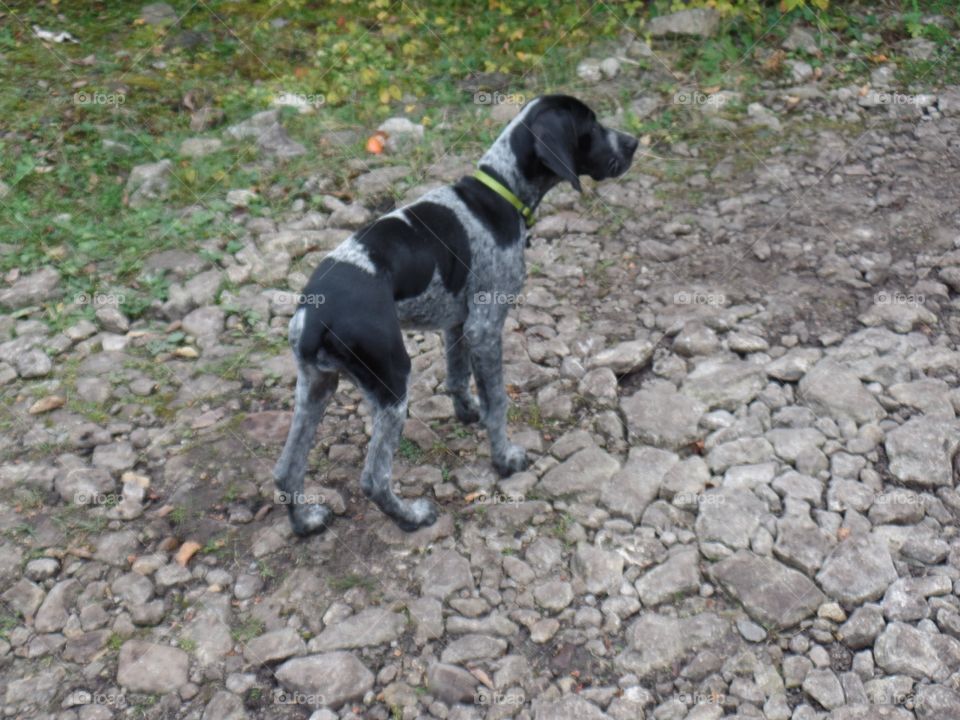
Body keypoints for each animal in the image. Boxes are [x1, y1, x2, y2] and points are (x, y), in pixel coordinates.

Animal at [274, 93, 640, 536]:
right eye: (591, 125)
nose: (634, 143)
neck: (501, 192)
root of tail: (315, 316)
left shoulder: (458, 323)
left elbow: (456, 376)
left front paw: (467, 413)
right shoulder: (486, 326)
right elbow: (498, 400)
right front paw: (505, 458)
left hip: (316, 386)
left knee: (286, 471)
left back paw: (305, 521)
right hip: (392, 381)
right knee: (373, 479)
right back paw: (412, 516)